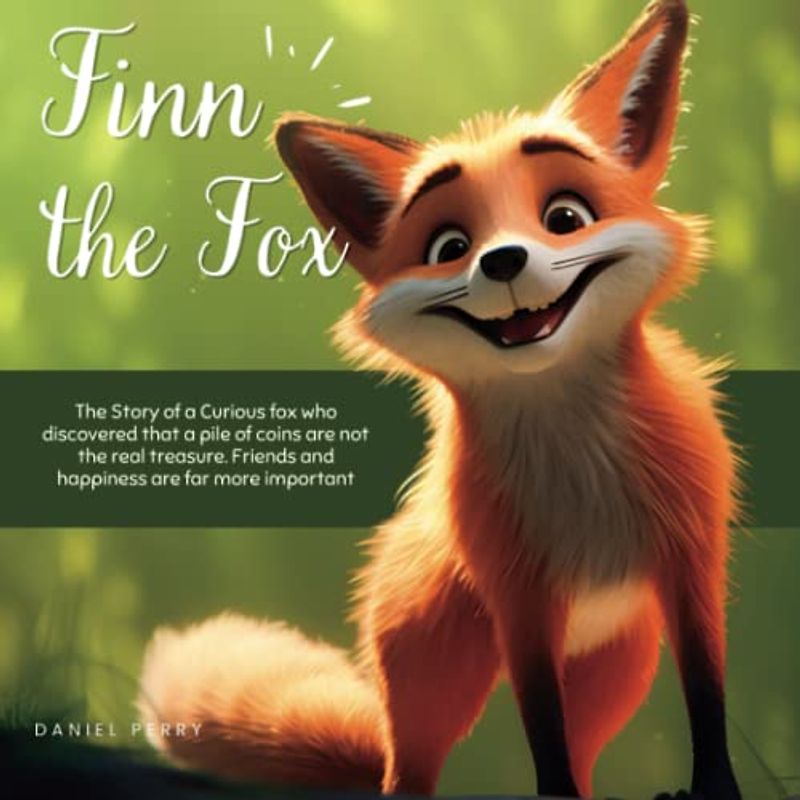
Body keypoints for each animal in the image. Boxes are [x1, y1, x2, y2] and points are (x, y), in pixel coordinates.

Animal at [139, 2, 743, 798]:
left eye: (565, 217)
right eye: (450, 246)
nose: (504, 260)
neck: (577, 472)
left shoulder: (692, 560)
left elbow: (706, 700)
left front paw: (714, 788)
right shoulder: (520, 603)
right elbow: (541, 731)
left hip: (617, 673)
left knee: (582, 750)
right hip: (438, 679)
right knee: (407, 769)